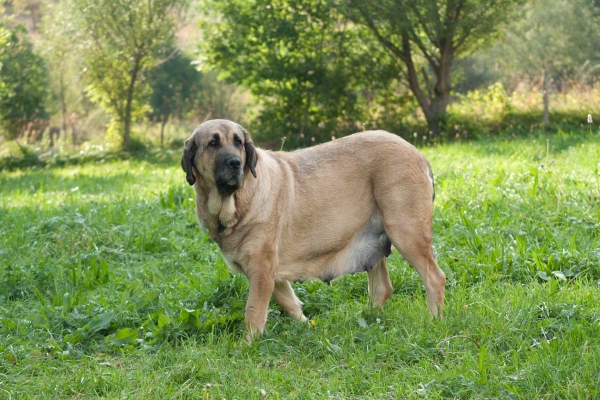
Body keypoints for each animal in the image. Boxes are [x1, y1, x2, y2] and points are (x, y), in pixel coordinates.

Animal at [183, 119, 446, 340]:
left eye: (238, 142)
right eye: (213, 143)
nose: (235, 163)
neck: (236, 202)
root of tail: (419, 155)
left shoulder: (261, 270)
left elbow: (254, 312)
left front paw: (247, 345)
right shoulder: (270, 272)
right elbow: (288, 302)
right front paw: (306, 326)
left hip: (406, 232)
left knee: (434, 278)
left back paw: (434, 321)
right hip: (373, 242)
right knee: (383, 288)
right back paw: (366, 320)